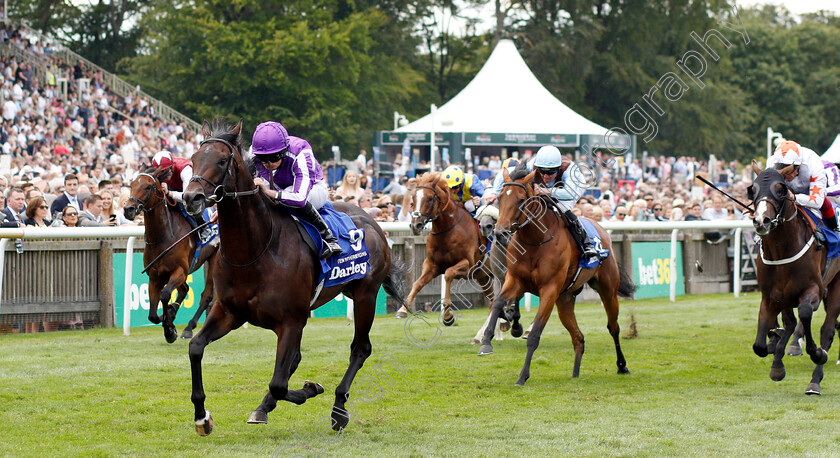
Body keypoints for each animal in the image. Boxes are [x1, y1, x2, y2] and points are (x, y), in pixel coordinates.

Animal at [124, 166, 218, 342]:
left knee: (206, 295)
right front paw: (167, 319)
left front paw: (169, 327)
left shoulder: (179, 270)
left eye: (148, 187)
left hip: (215, 259)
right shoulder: (155, 277)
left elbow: (166, 294)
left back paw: (188, 327)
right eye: (131, 184)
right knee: (184, 289)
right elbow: (152, 315)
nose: (128, 209)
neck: (163, 236)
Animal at [184, 120, 406, 434]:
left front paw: (311, 389)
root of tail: (373, 222)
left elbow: (278, 383)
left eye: (222, 160)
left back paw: (339, 409)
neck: (254, 251)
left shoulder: (290, 321)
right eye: (192, 159)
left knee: (360, 349)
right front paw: (202, 416)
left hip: (366, 296)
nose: (191, 197)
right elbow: (195, 347)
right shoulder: (229, 312)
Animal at [476, 166, 632, 384]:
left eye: (521, 200)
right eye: (499, 197)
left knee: (613, 327)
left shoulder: (549, 290)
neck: (535, 240)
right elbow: (498, 303)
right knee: (578, 337)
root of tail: (603, 231)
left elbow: (535, 335)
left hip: (608, 290)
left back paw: (622, 365)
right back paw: (575, 374)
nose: (500, 233)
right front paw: (486, 342)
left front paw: (522, 376)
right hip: (565, 300)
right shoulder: (514, 281)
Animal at [748, 164, 840, 394]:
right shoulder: (770, 297)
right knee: (791, 322)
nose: (761, 221)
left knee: (827, 329)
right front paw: (776, 360)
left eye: (781, 189)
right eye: (752, 190)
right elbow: (759, 346)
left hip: (836, 286)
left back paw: (815, 380)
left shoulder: (814, 289)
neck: (782, 249)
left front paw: (816, 352)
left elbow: (806, 313)